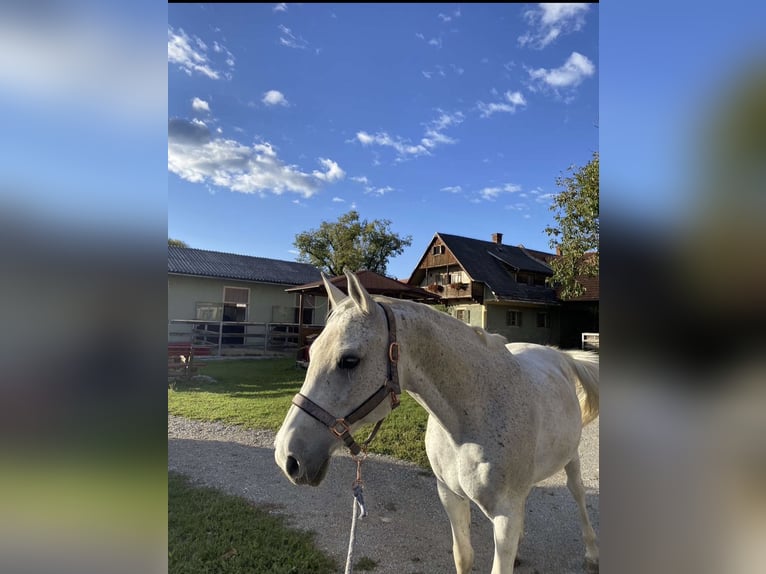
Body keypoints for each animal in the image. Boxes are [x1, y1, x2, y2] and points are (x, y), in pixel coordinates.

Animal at [275, 271, 599, 573]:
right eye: (312, 352)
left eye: (349, 360)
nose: (286, 456)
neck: (471, 421)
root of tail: (556, 354)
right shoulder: (451, 496)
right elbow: (463, 557)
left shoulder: (506, 514)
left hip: (571, 460)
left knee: (579, 495)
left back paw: (591, 554)